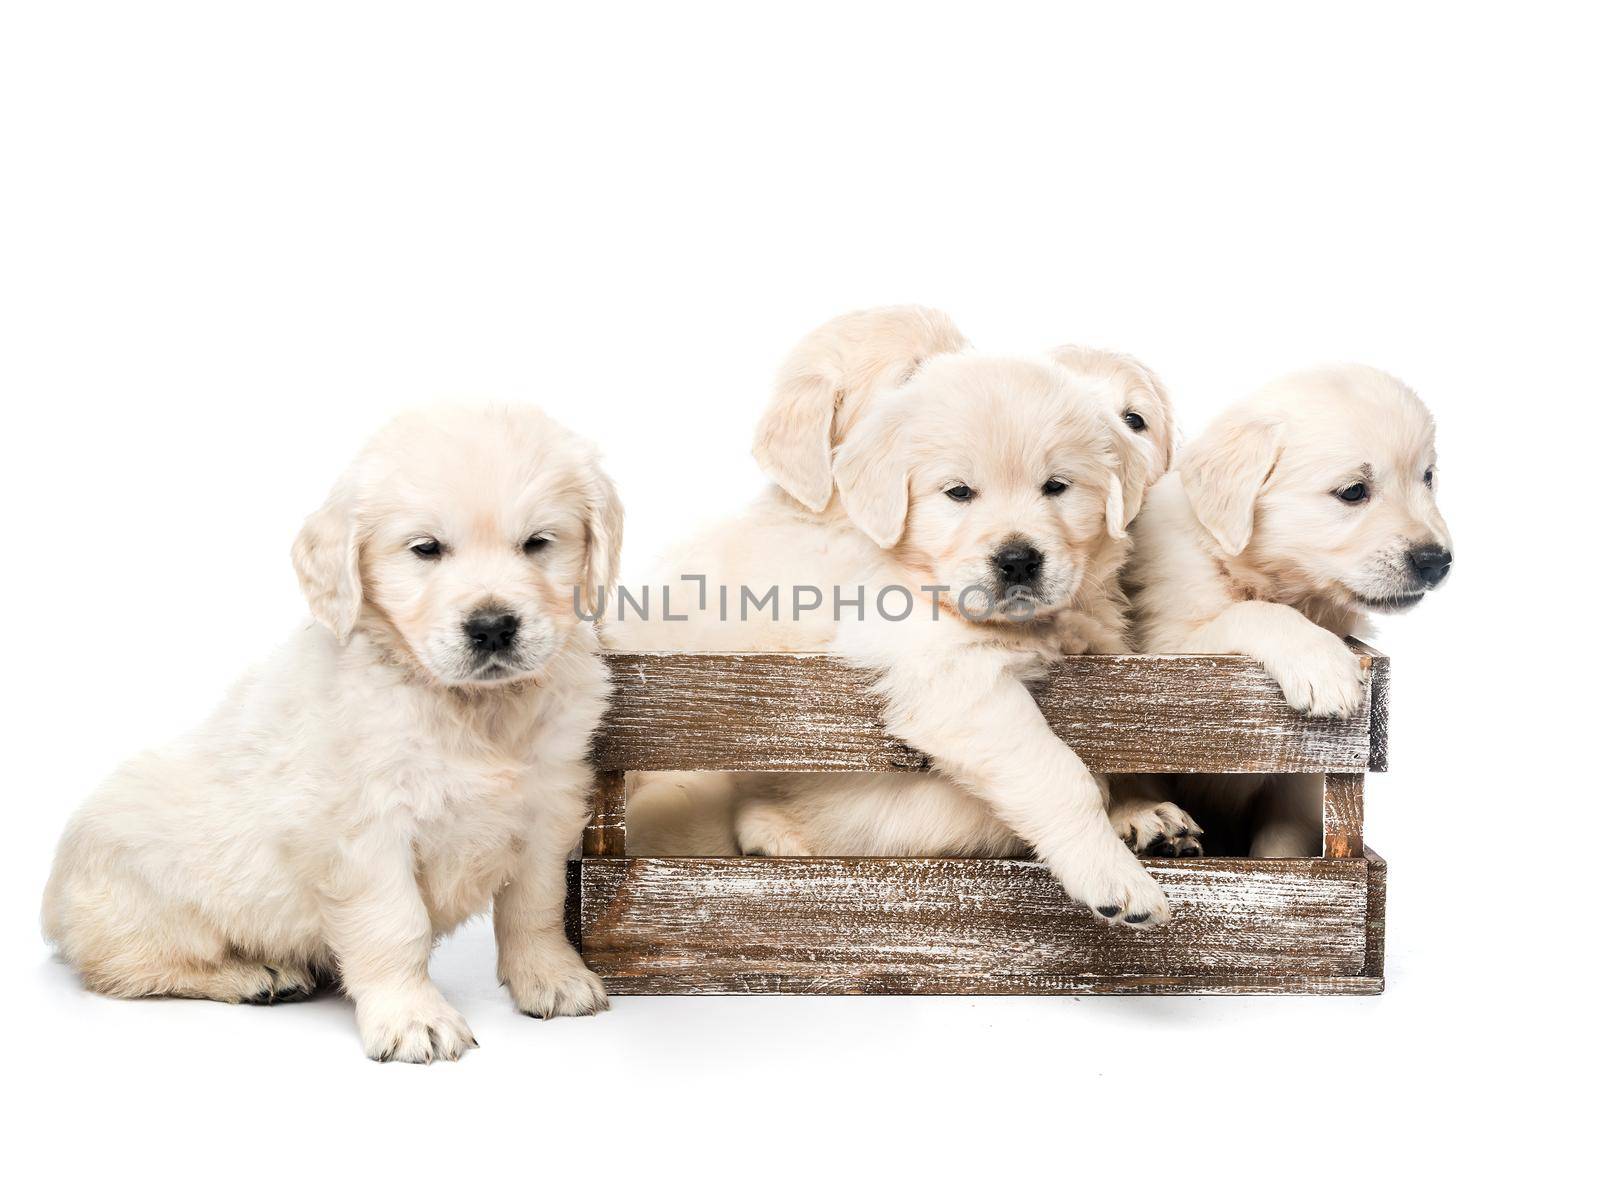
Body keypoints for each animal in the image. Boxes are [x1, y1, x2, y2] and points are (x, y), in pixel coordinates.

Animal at [43, 406, 617, 1061]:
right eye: (426, 549)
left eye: (537, 543)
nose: (493, 626)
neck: (472, 708)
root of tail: (52, 905)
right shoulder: (363, 830)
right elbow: (395, 925)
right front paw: (413, 1016)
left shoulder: (549, 805)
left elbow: (536, 906)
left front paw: (552, 977)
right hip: (143, 903)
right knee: (129, 969)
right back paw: (257, 975)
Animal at [611, 308, 1177, 927]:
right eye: (958, 493)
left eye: (1057, 487)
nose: (1019, 560)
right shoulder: (945, 673)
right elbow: (1062, 773)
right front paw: (1114, 875)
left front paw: (1141, 810)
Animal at [1126, 369, 1452, 857]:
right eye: (1353, 491)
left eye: (1427, 478)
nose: (1437, 561)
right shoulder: (1166, 650)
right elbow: (1252, 612)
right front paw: (1322, 664)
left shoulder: (1297, 790)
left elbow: (1280, 850)